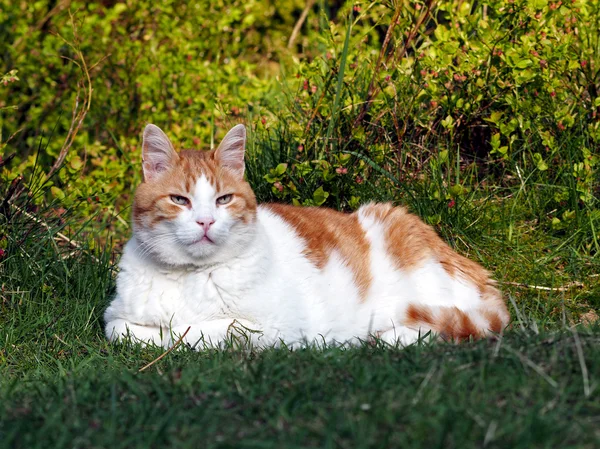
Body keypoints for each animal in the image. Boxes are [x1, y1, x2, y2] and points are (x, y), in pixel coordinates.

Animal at [104, 123, 510, 350]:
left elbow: (195, 332)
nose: (205, 221)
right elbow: (127, 331)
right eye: (179, 200)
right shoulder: (114, 319)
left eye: (223, 199)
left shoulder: (271, 328)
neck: (191, 278)